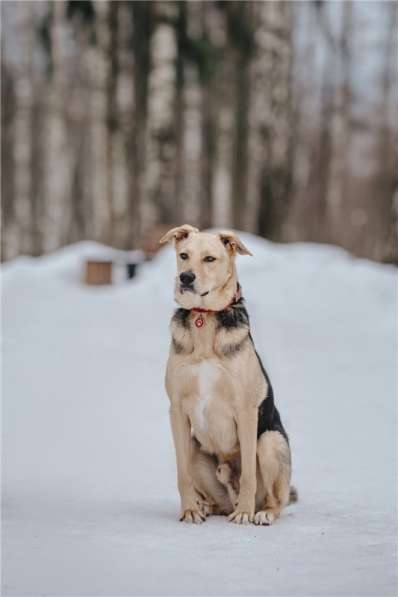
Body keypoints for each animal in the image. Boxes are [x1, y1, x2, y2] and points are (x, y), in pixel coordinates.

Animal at [159, 225, 296, 528]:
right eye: (184, 255)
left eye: (209, 259)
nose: (186, 278)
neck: (204, 317)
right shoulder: (177, 409)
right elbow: (182, 474)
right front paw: (189, 510)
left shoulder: (246, 410)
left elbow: (248, 475)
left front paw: (244, 513)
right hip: (195, 447)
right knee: (217, 500)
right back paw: (206, 506)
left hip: (270, 442)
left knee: (276, 499)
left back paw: (261, 512)